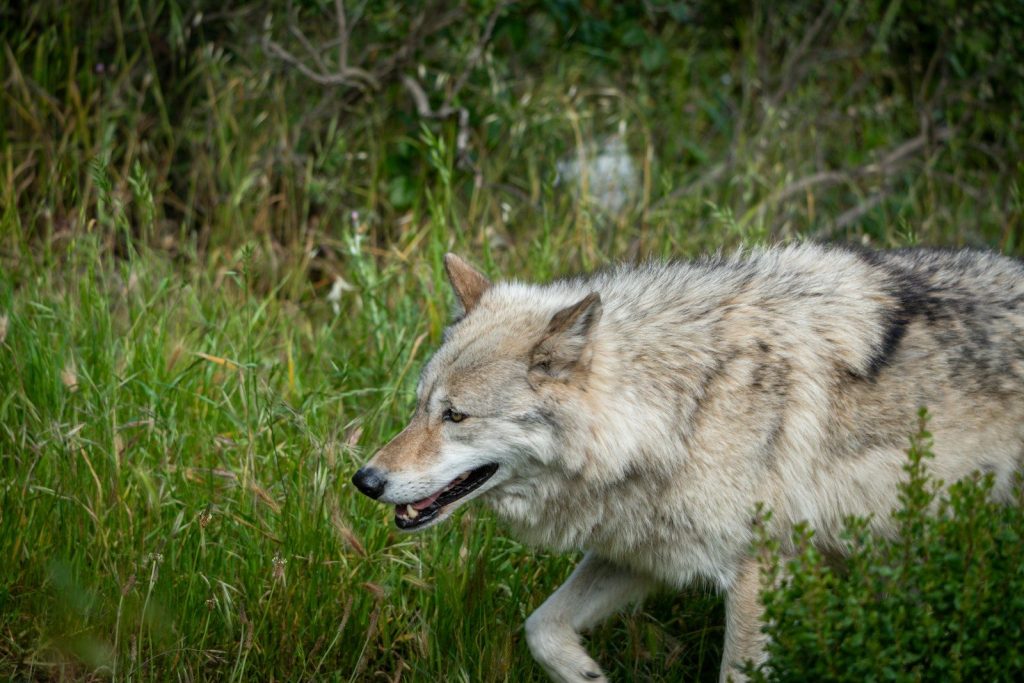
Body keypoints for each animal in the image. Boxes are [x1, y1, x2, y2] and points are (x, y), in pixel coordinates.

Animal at [352, 244, 1024, 682]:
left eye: (455, 416)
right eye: (419, 407)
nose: (364, 480)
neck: (684, 406)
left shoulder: (758, 574)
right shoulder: (638, 554)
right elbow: (541, 629)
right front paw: (589, 676)